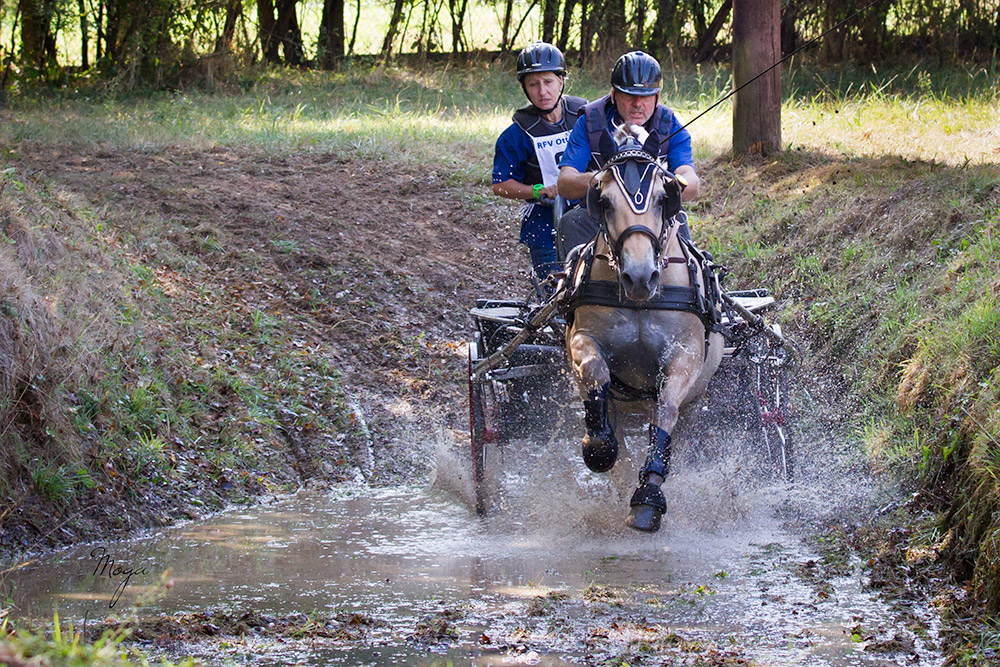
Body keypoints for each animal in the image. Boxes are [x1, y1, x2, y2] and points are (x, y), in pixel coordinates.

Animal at [564, 124, 720, 532]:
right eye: (603, 202)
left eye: (665, 198)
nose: (639, 276)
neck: (639, 302)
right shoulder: (583, 338)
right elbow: (596, 372)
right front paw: (598, 447)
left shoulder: (686, 353)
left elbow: (664, 412)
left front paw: (649, 495)